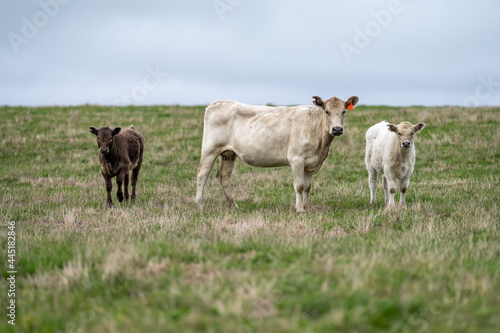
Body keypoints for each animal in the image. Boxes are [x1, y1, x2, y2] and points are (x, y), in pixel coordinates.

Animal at [196, 94, 360, 211]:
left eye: (344, 111)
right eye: (326, 111)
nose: (337, 129)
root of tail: (216, 103)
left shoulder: (309, 163)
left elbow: (307, 187)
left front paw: (307, 208)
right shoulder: (296, 159)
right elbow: (299, 185)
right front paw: (299, 209)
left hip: (229, 153)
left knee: (224, 177)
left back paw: (233, 205)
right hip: (210, 149)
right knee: (202, 174)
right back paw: (200, 204)